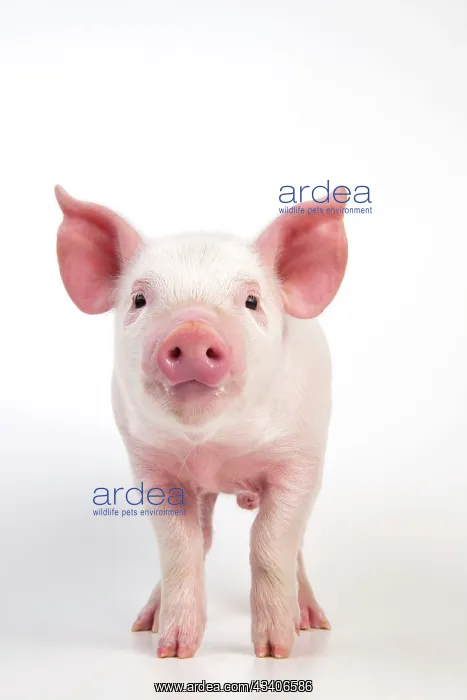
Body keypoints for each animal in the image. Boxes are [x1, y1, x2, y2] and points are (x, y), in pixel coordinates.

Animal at [55, 185, 347, 659]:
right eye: (139, 299)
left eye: (251, 301)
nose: (191, 332)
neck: (215, 450)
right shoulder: (151, 467)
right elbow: (181, 546)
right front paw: (172, 652)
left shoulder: (301, 459)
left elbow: (270, 541)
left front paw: (275, 653)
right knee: (206, 535)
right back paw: (146, 622)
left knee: (296, 544)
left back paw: (310, 622)